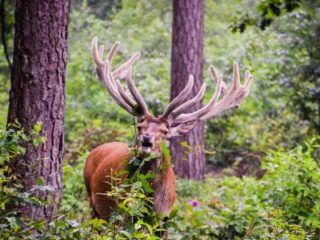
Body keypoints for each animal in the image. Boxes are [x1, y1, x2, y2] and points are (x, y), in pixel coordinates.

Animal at [84, 37, 254, 221]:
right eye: (140, 126)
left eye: (165, 132)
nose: (146, 139)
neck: (152, 205)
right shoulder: (123, 213)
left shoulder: (164, 218)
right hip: (94, 204)